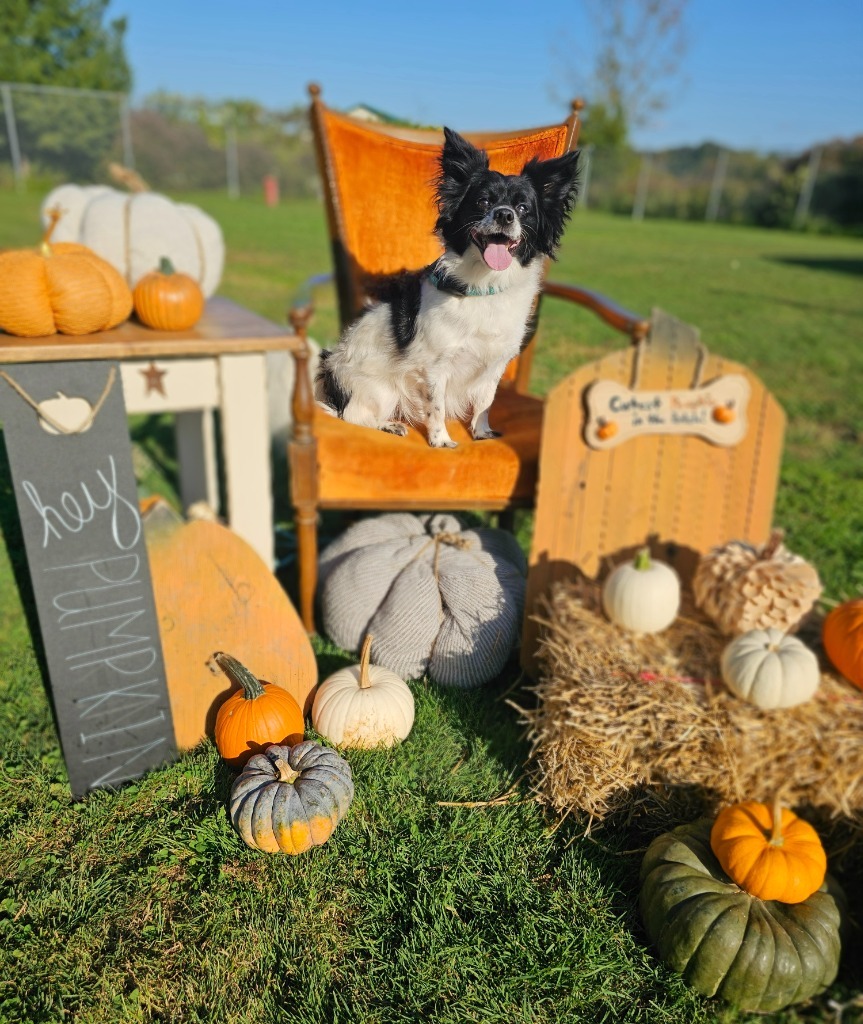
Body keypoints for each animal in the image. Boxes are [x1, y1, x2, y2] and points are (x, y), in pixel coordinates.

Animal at [313, 125, 577, 446]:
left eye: (523, 207)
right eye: (483, 202)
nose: (504, 214)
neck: (484, 285)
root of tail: (330, 373)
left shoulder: (494, 366)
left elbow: (485, 402)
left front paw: (481, 433)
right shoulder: (434, 367)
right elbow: (436, 406)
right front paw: (440, 441)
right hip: (382, 389)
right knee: (351, 416)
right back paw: (388, 425)